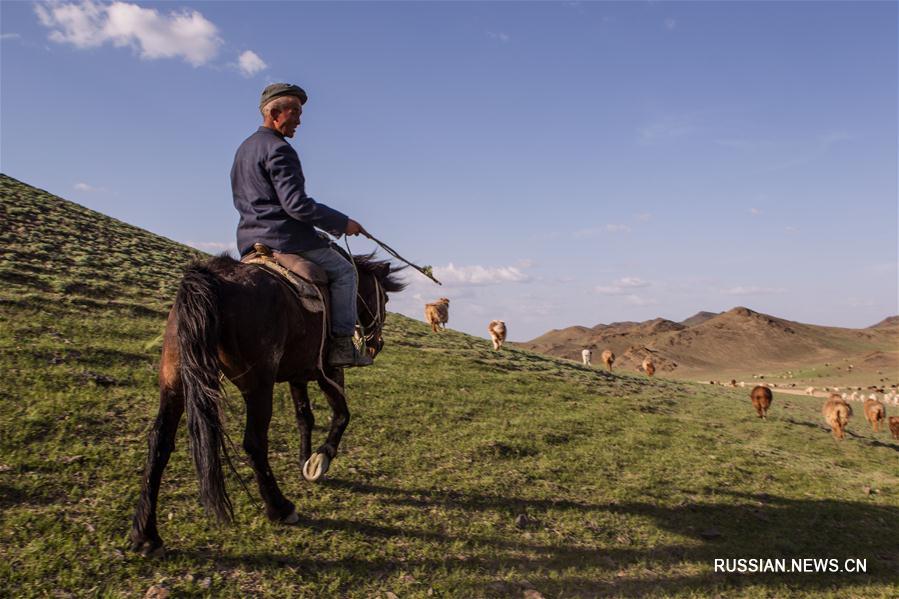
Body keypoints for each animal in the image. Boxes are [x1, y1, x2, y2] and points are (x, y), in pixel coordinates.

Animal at [129, 251, 404, 556]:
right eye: (385, 299)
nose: (376, 345)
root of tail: (214, 277)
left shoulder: (298, 376)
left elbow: (304, 418)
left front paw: (304, 460)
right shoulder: (329, 371)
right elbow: (342, 415)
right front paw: (320, 459)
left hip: (174, 383)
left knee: (160, 441)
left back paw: (146, 535)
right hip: (258, 386)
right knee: (254, 443)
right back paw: (280, 507)